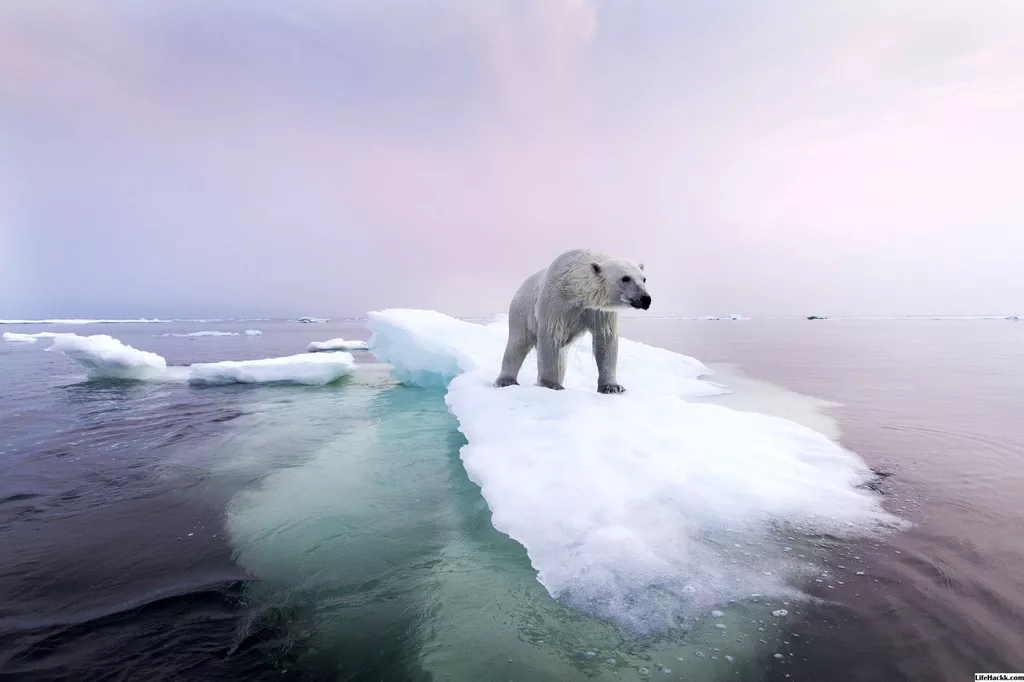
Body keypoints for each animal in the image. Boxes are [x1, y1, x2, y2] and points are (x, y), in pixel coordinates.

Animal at [493, 246, 651, 391]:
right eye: (625, 278)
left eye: (644, 279)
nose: (645, 299)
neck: (574, 289)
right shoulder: (555, 301)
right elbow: (551, 335)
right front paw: (551, 384)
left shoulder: (598, 311)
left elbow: (606, 339)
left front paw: (612, 387)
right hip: (522, 312)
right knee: (517, 344)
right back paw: (505, 380)